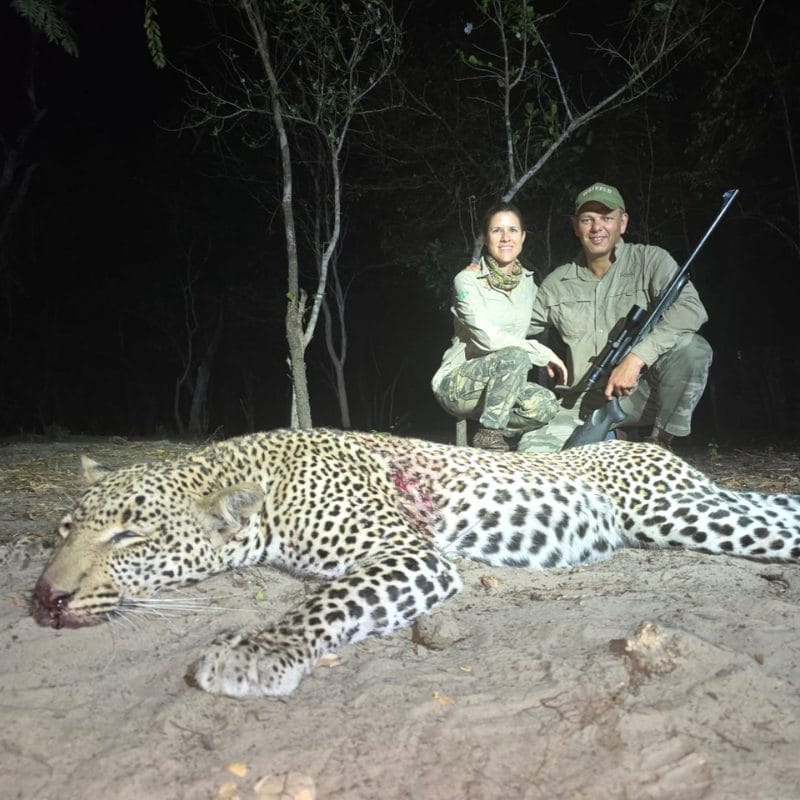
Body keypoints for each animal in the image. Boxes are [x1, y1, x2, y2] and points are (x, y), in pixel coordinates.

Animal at [31, 428, 800, 698]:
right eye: (64, 531)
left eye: (129, 538)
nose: (45, 599)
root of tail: (652, 447)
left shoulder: (408, 551)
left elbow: (329, 600)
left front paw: (255, 652)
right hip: (700, 508)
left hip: (678, 514)